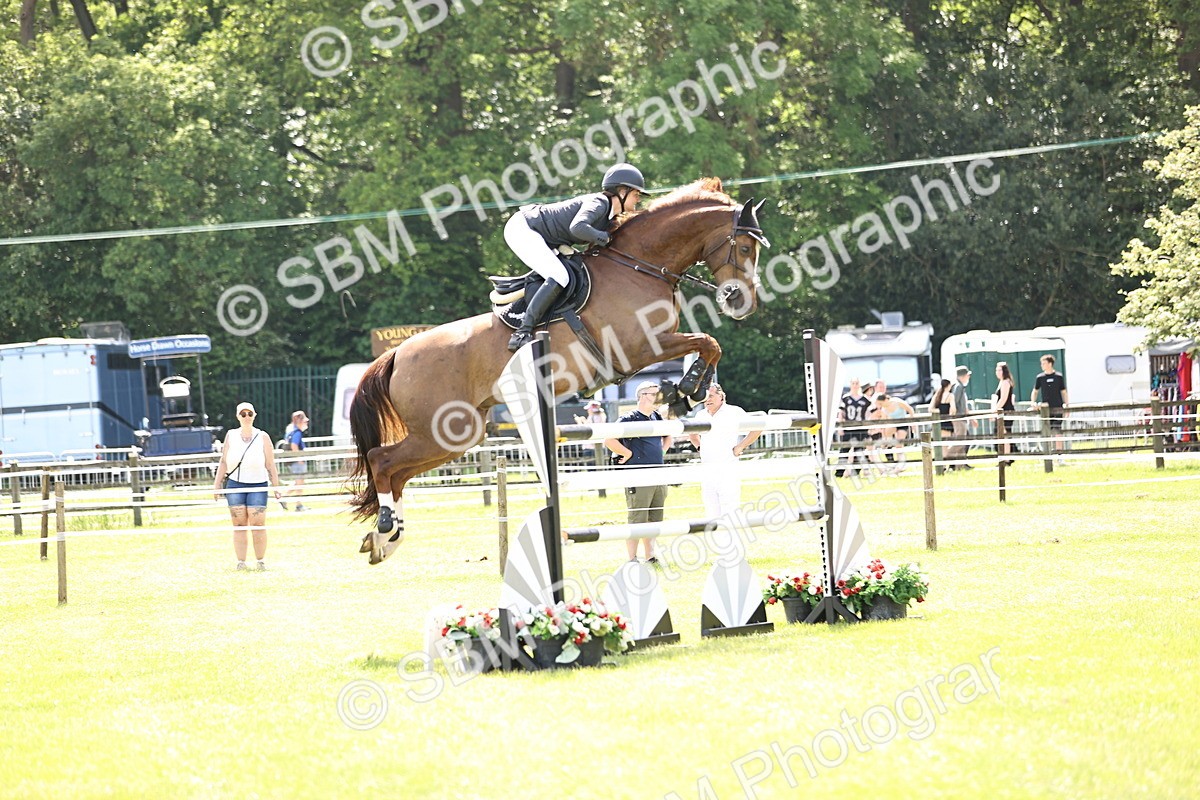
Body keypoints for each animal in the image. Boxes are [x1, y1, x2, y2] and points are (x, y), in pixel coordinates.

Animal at [349, 177, 770, 564]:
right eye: (744, 247)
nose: (742, 303)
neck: (639, 265)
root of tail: (398, 353)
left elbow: (710, 345)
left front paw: (691, 391)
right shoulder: (640, 349)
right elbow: (707, 341)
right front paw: (690, 385)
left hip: (458, 435)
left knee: (398, 472)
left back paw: (386, 538)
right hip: (443, 431)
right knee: (382, 461)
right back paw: (385, 528)